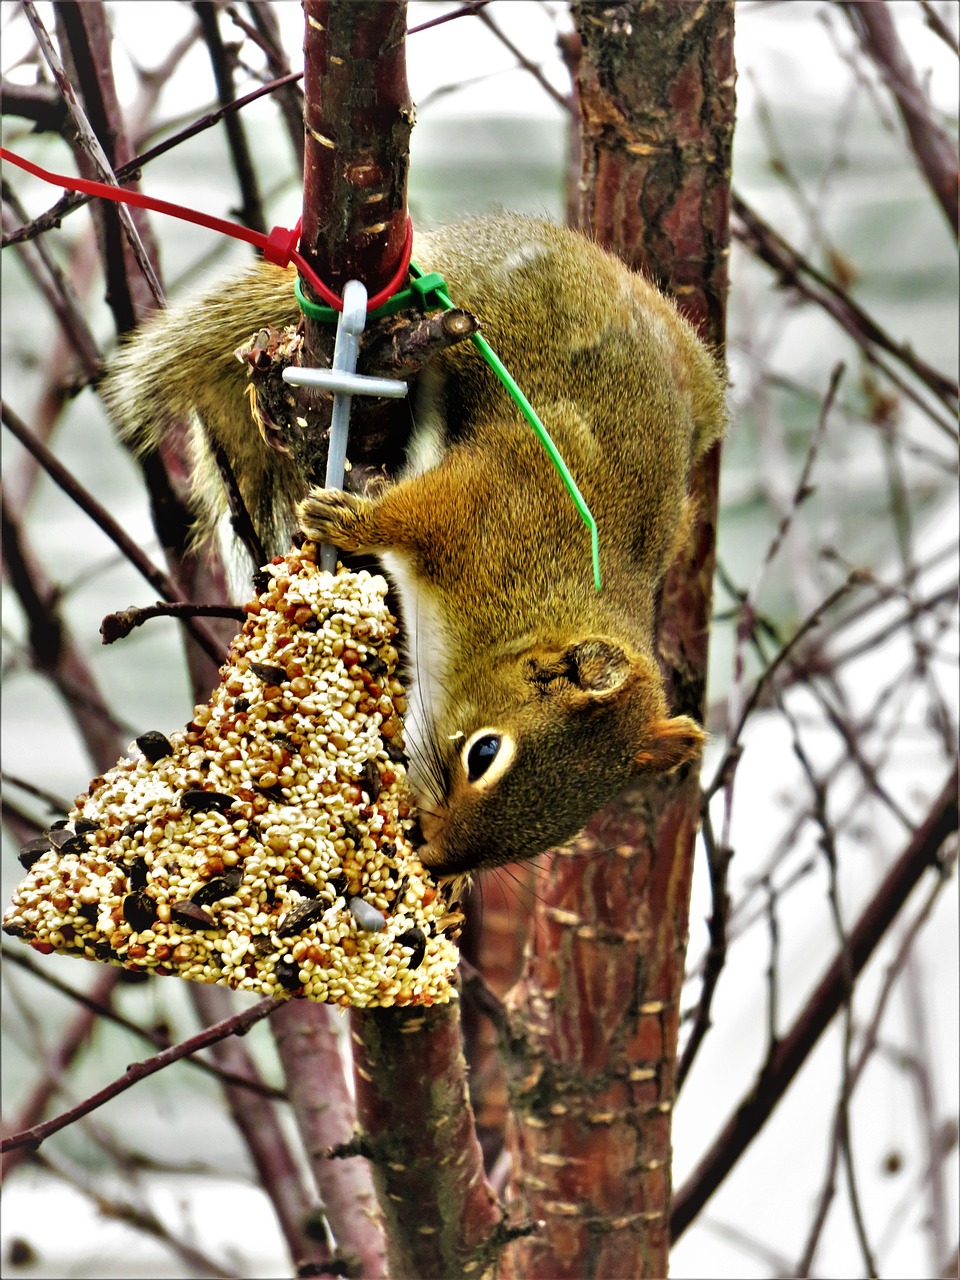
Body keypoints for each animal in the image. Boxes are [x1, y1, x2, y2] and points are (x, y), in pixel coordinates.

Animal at [101, 215, 727, 875]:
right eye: (483, 754)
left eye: (563, 832)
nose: (439, 862)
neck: (514, 620)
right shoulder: (489, 503)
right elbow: (409, 514)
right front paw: (350, 520)